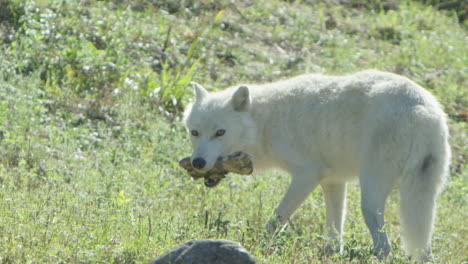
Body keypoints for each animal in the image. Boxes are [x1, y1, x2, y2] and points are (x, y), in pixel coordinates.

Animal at [182, 69, 450, 260]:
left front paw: (258, 246)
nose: (198, 162)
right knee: (424, 250)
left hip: (371, 197)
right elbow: (334, 233)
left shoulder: (306, 176)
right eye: (194, 132)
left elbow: (276, 220)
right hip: (423, 200)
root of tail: (422, 108)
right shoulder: (333, 182)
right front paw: (331, 256)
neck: (266, 123)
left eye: (220, 132)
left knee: (385, 247)